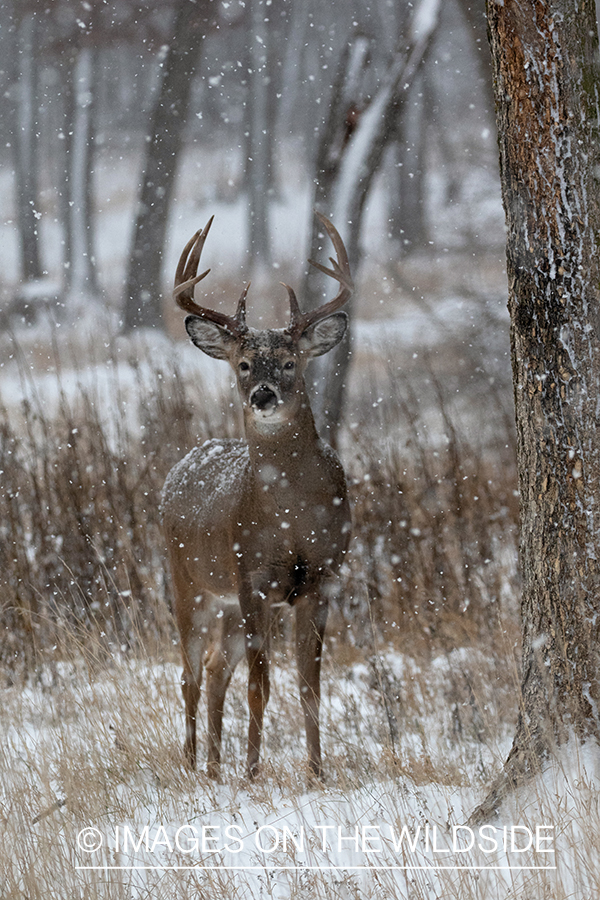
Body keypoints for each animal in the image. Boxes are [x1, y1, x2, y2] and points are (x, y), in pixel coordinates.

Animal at [162, 211, 354, 780]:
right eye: (244, 364)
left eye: (290, 362)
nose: (262, 395)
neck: (291, 518)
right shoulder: (253, 578)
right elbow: (260, 686)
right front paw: (252, 774)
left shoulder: (321, 579)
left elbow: (310, 687)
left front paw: (316, 773)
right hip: (190, 583)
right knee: (189, 674)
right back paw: (192, 764)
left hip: (224, 602)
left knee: (214, 669)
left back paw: (213, 766)